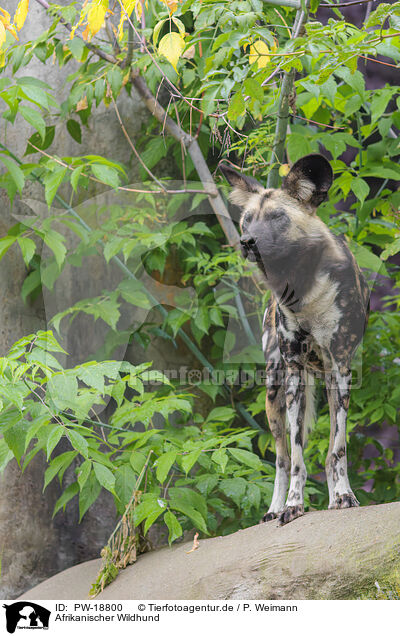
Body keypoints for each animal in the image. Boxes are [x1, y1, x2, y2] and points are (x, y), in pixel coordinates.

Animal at [220, 155, 370, 528]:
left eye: (277, 217)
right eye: (247, 219)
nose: (246, 241)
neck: (304, 290)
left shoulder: (341, 368)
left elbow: (338, 448)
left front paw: (343, 496)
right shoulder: (292, 373)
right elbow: (298, 456)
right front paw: (293, 505)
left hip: (328, 384)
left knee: (330, 448)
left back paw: (334, 498)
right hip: (274, 391)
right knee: (282, 458)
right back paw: (274, 508)